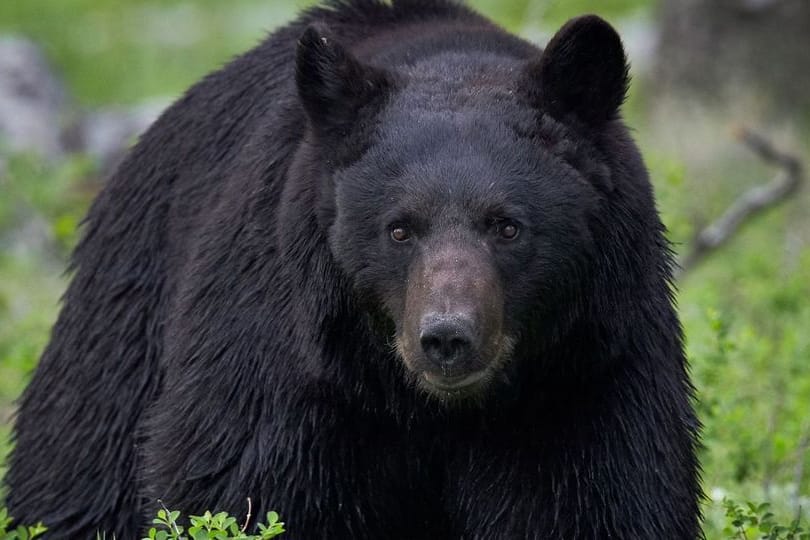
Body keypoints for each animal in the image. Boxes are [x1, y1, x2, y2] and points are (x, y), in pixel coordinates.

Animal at [4, 0, 700, 536]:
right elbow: (240, 491)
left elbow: (597, 503)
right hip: (128, 329)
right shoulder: (285, 361)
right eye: (399, 228)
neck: (430, 409)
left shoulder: (587, 374)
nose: (447, 337)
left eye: (508, 226)